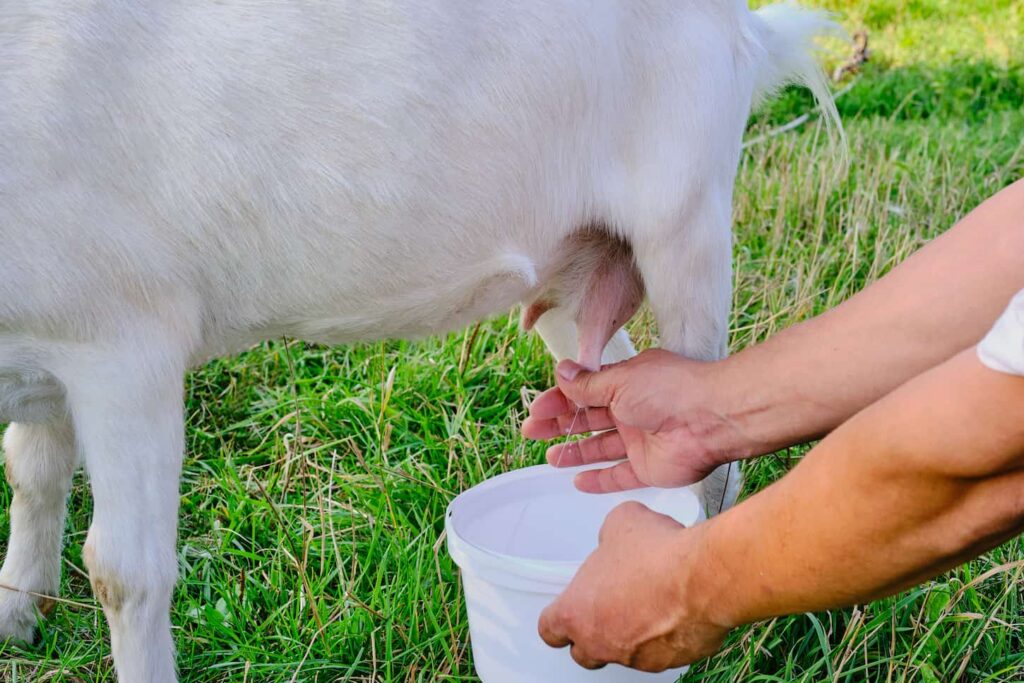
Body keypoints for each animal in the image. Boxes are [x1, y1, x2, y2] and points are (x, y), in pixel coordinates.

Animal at [0, 2, 835, 679]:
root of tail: (743, 26)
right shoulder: (48, 350)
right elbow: (32, 474)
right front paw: (17, 610)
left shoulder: (125, 341)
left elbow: (124, 571)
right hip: (579, 270)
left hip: (686, 221)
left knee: (711, 453)